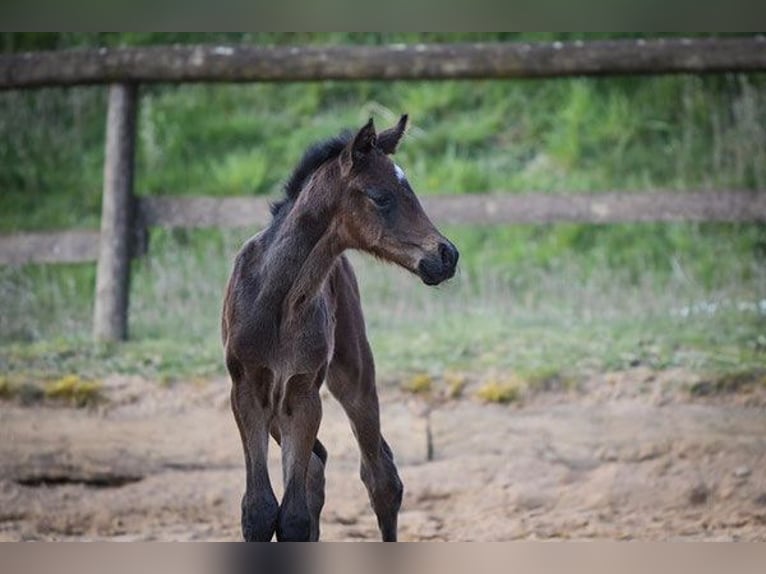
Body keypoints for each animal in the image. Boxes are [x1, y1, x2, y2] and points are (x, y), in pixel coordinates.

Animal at [224, 117, 462, 544]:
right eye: (381, 197)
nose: (446, 256)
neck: (278, 299)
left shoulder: (303, 392)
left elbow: (292, 517)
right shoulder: (246, 390)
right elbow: (261, 511)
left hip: (353, 374)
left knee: (380, 478)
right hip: (275, 406)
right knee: (317, 466)